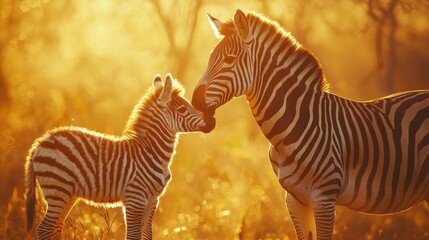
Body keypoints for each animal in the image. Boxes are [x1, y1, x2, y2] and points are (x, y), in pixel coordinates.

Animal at [25, 73, 216, 240]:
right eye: (183, 109)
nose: (212, 121)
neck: (152, 152)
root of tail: (40, 142)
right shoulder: (135, 199)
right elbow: (133, 236)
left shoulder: (152, 200)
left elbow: (147, 235)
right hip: (58, 188)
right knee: (44, 229)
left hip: (68, 194)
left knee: (55, 228)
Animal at [191, 9, 428, 240]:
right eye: (210, 59)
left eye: (229, 59)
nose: (194, 101)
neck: (291, 129)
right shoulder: (293, 198)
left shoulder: (324, 197)